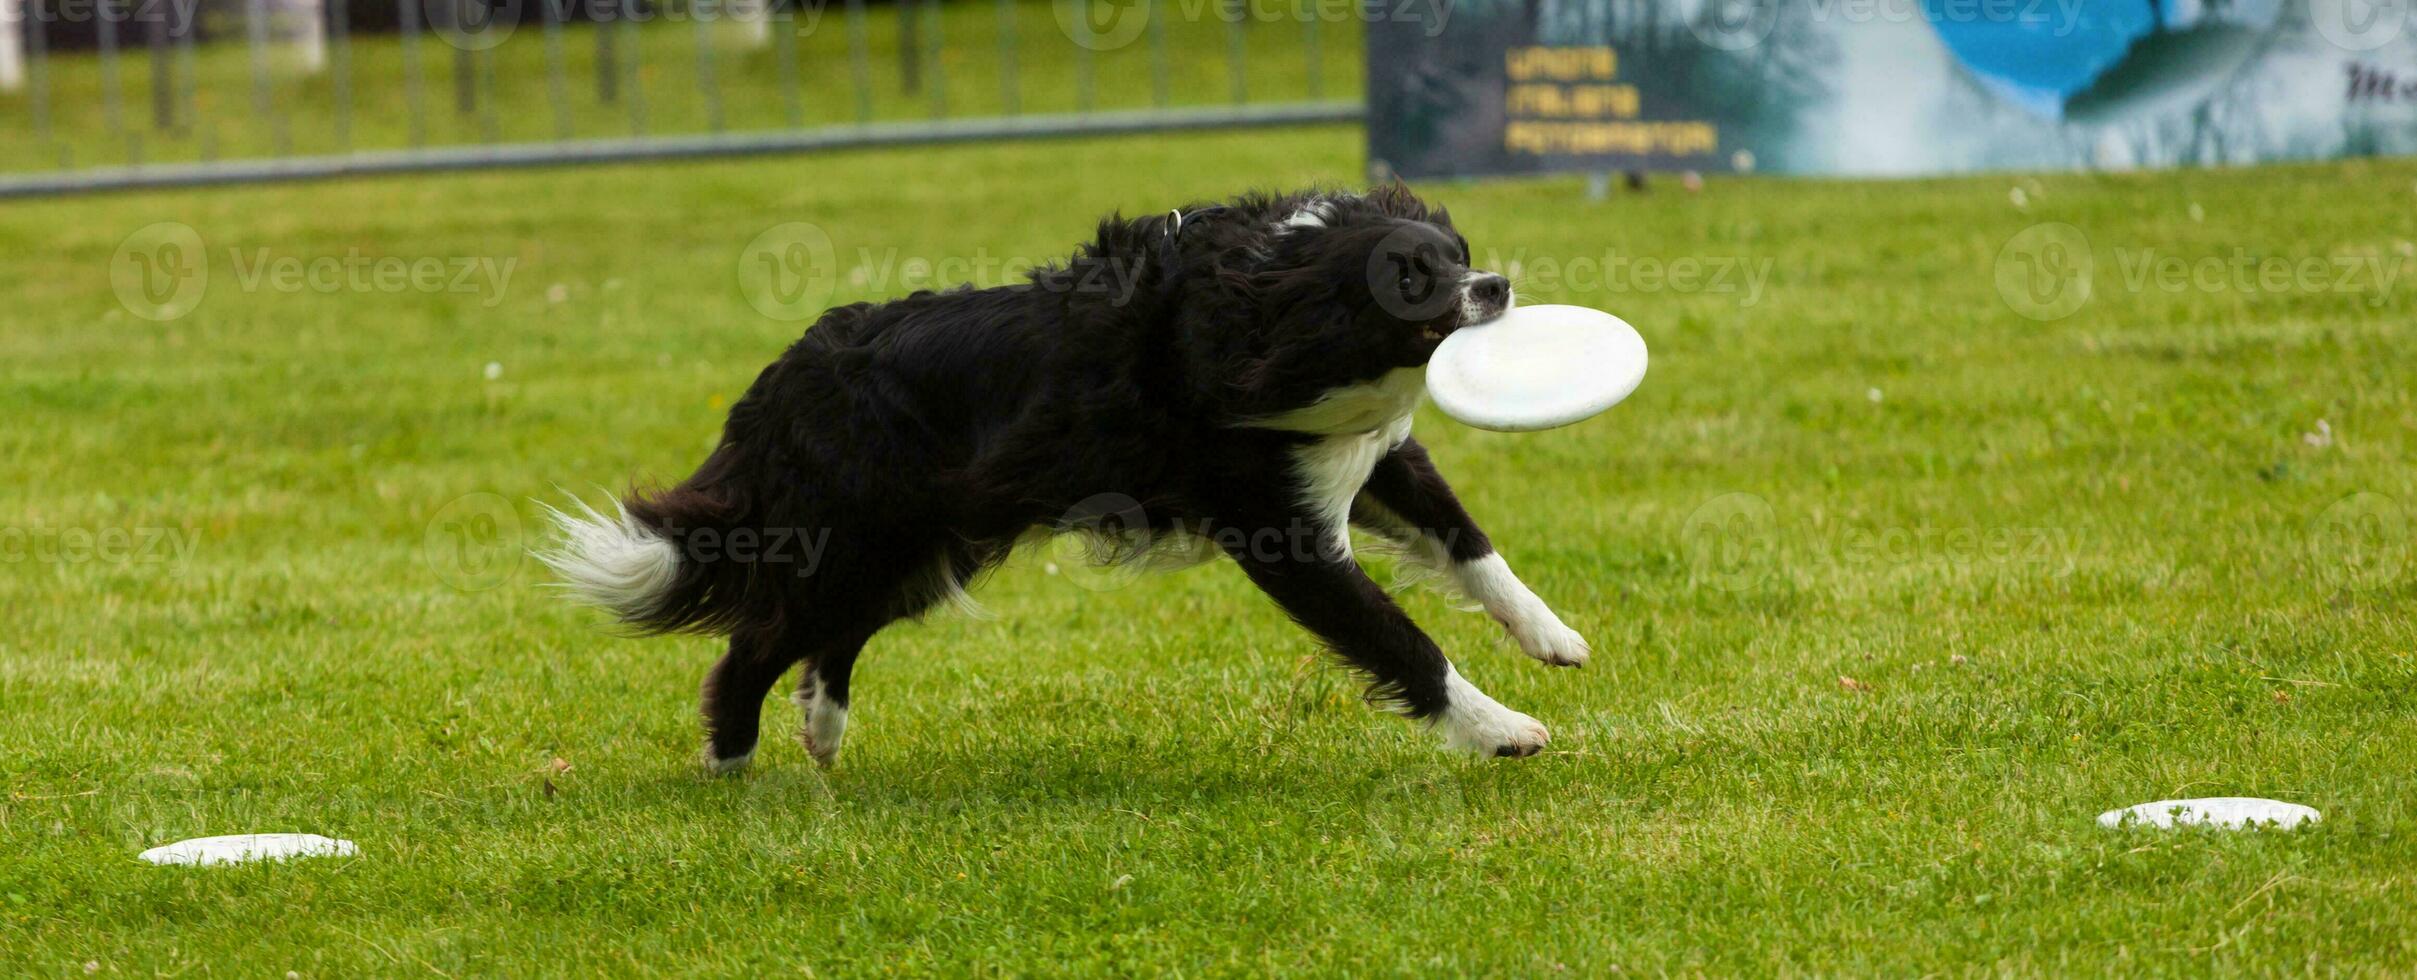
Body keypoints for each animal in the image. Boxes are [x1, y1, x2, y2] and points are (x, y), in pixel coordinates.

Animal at [546, 181, 1585, 764]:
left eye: (1456, 256)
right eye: (1411, 279)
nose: (1497, 287)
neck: (1267, 305)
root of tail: (778, 381)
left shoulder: (1365, 456)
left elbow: (1467, 542)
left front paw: (1553, 636)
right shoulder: (1277, 527)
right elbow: (1400, 639)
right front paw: (1501, 730)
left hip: (925, 548)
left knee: (829, 637)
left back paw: (822, 731)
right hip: (853, 540)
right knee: (755, 641)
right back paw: (732, 764)